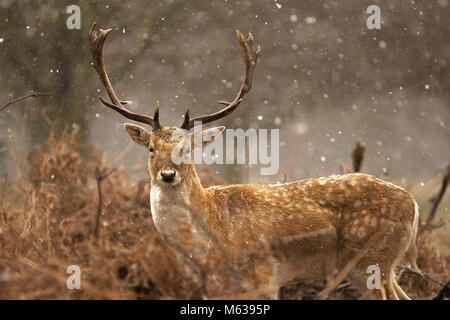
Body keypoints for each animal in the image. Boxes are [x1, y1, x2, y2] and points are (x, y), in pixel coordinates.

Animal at [89, 23, 422, 300]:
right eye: (150, 149)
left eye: (187, 149)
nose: (168, 175)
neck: (207, 245)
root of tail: (414, 206)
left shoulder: (263, 277)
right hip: (379, 268)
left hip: (371, 261)